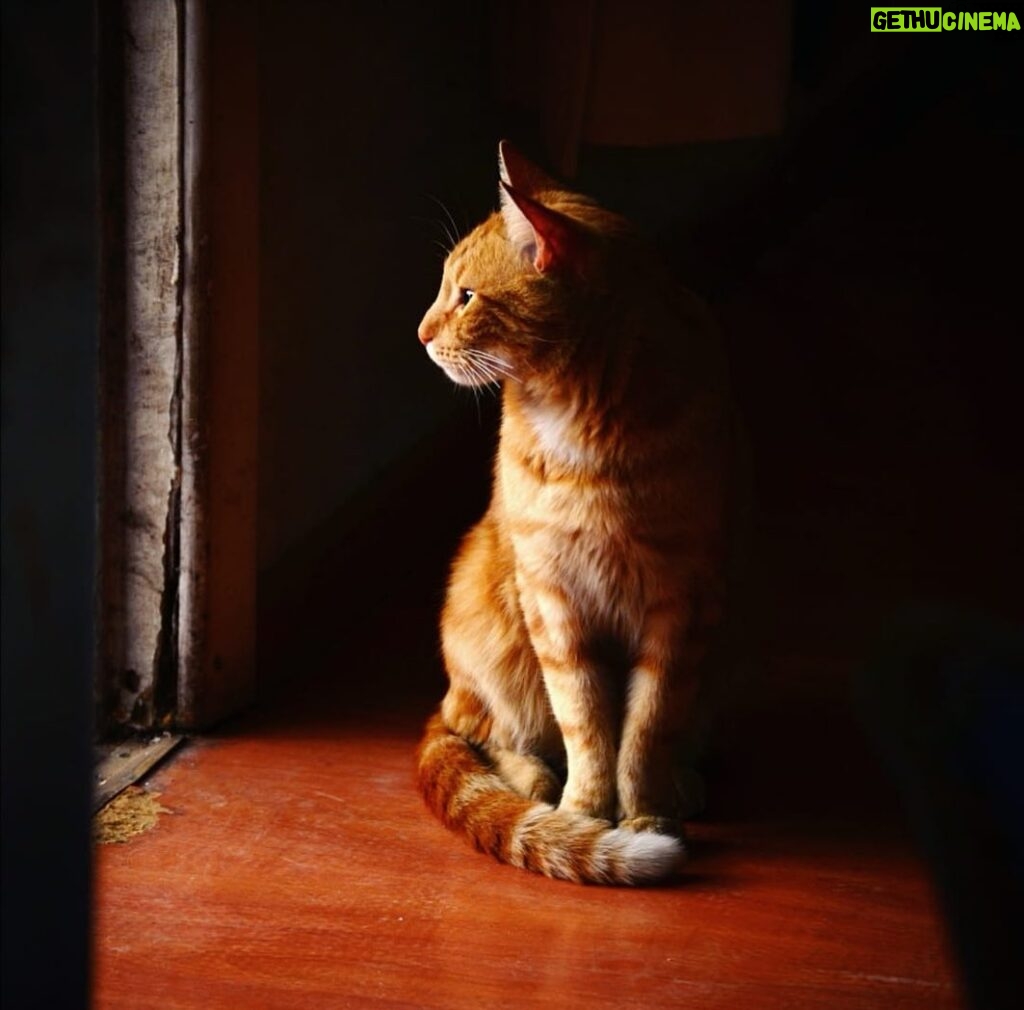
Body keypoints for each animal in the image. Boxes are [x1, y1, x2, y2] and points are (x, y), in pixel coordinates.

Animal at [415, 141, 745, 880]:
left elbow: (647, 725)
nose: (419, 333)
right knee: (476, 730)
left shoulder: (679, 602)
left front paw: (644, 809)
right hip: (487, 620)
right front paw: (586, 814)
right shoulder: (554, 600)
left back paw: (680, 781)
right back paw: (534, 781)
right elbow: (587, 720)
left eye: (466, 296)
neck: (587, 418)